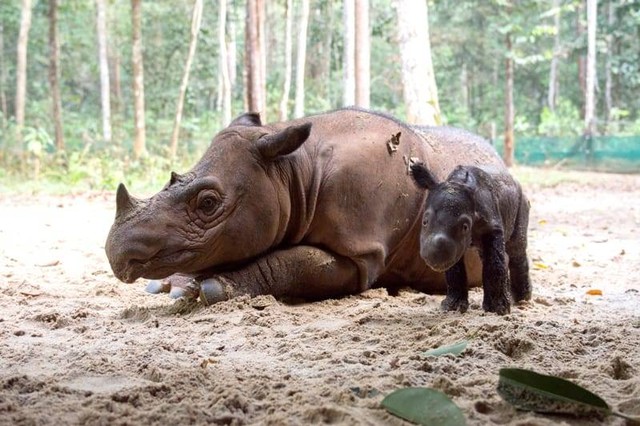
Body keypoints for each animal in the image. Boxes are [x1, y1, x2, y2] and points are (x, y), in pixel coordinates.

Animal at [109, 108, 510, 304]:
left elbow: (291, 263)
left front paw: (213, 290)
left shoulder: (359, 251)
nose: (116, 252)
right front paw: (177, 287)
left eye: (208, 203)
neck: (292, 170)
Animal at [410, 161, 528, 314]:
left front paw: (498, 309)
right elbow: (454, 267)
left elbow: (494, 263)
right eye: (424, 222)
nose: (435, 257)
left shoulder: (492, 226)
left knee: (516, 248)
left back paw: (521, 299)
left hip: (521, 200)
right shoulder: (454, 245)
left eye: (465, 227)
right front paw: (452, 307)